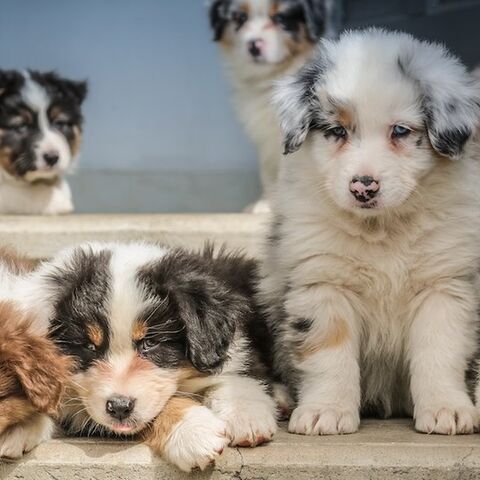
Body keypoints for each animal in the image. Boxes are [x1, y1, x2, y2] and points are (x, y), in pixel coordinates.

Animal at [13, 242, 276, 470]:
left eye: (149, 343)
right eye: (88, 345)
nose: (119, 407)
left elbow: (237, 375)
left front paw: (244, 416)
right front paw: (195, 433)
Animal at [208, 0, 336, 210]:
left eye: (280, 18)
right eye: (240, 18)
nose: (254, 45)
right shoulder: (265, 136)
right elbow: (267, 171)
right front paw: (265, 204)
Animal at [258, 29, 480, 436]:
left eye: (400, 131)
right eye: (336, 131)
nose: (363, 187)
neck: (382, 229)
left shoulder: (443, 286)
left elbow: (439, 351)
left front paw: (447, 410)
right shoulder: (323, 283)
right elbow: (329, 354)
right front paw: (326, 412)